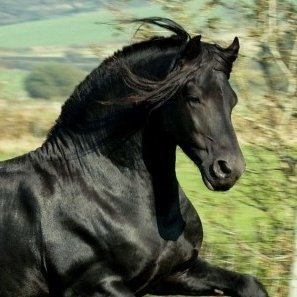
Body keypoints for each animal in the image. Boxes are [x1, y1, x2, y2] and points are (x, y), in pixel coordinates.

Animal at [0, 18, 268, 296]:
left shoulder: (178, 271)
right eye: (193, 97)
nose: (229, 169)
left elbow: (250, 283)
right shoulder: (95, 284)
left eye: (232, 100)